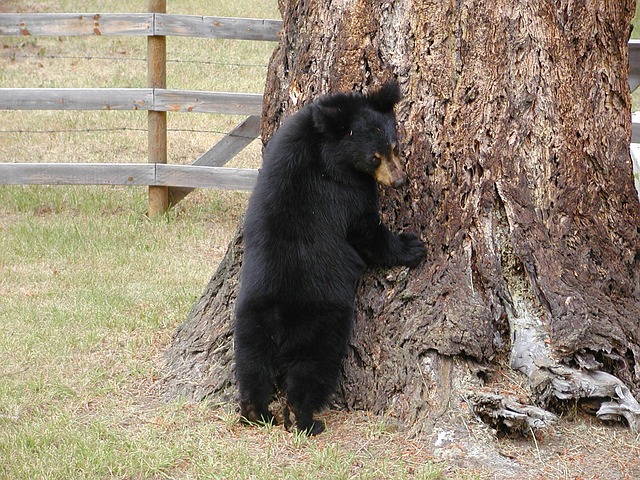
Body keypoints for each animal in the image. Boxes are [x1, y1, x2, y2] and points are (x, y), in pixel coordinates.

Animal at [233, 80, 425, 435]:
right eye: (374, 157)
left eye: (394, 146)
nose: (399, 180)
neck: (323, 145)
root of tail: (279, 320)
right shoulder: (345, 190)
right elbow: (366, 231)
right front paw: (411, 246)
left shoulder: (287, 138)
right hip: (322, 324)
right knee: (311, 371)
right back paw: (306, 420)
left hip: (250, 320)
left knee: (252, 365)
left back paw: (255, 411)